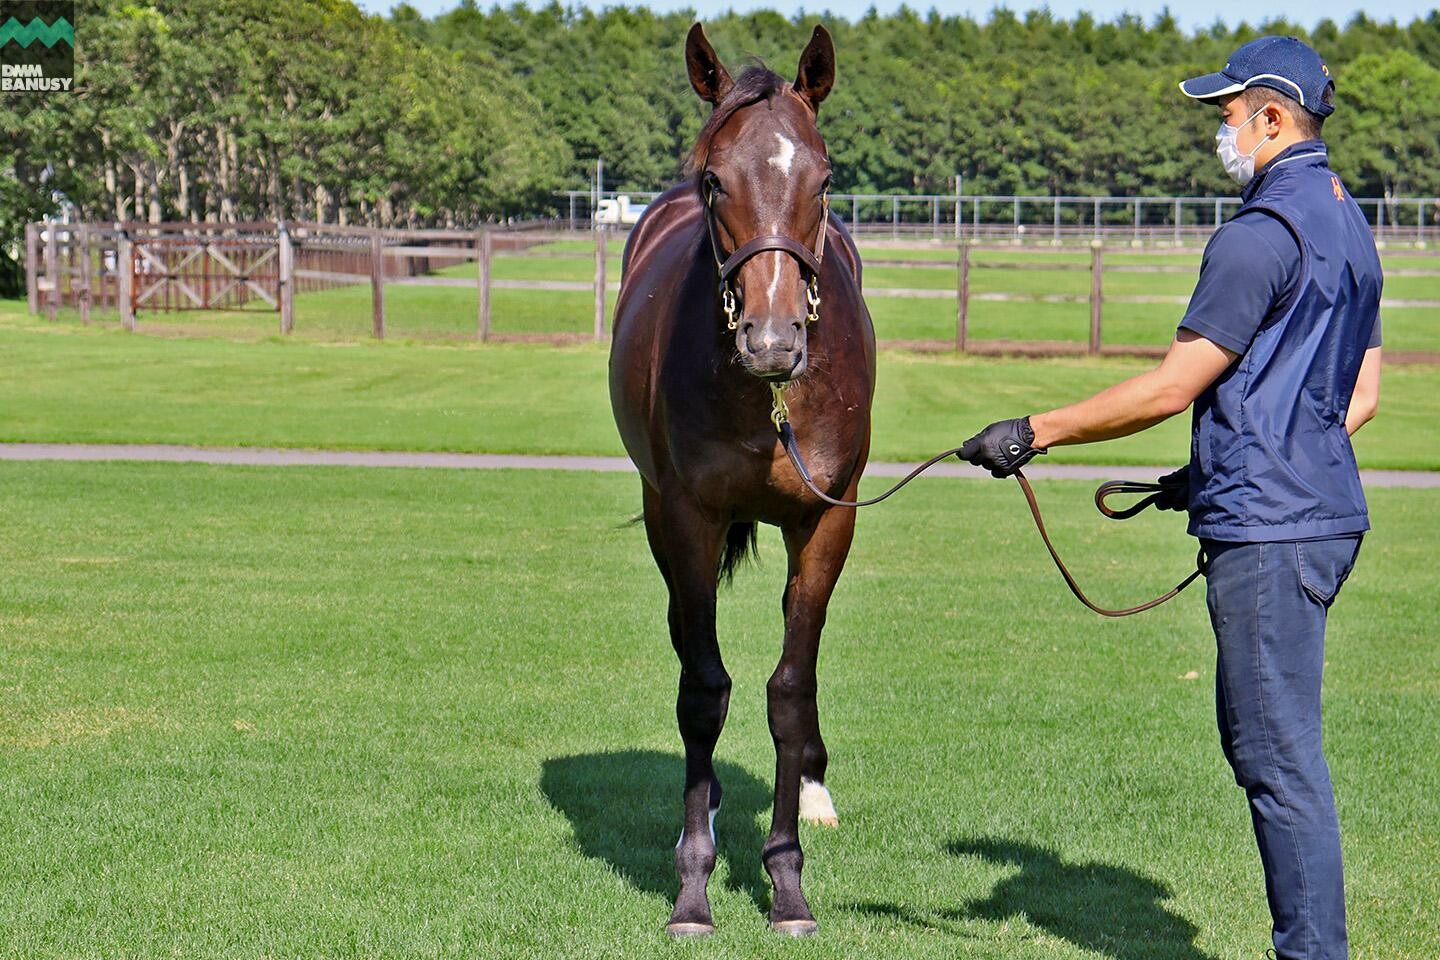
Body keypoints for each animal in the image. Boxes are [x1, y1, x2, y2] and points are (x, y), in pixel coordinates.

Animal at [604, 22, 869, 938]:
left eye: (824, 177)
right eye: (716, 178)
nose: (772, 339)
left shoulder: (828, 521)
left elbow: (789, 689)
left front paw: (786, 880)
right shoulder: (688, 516)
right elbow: (702, 691)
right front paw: (693, 885)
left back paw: (816, 790)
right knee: (691, 645)